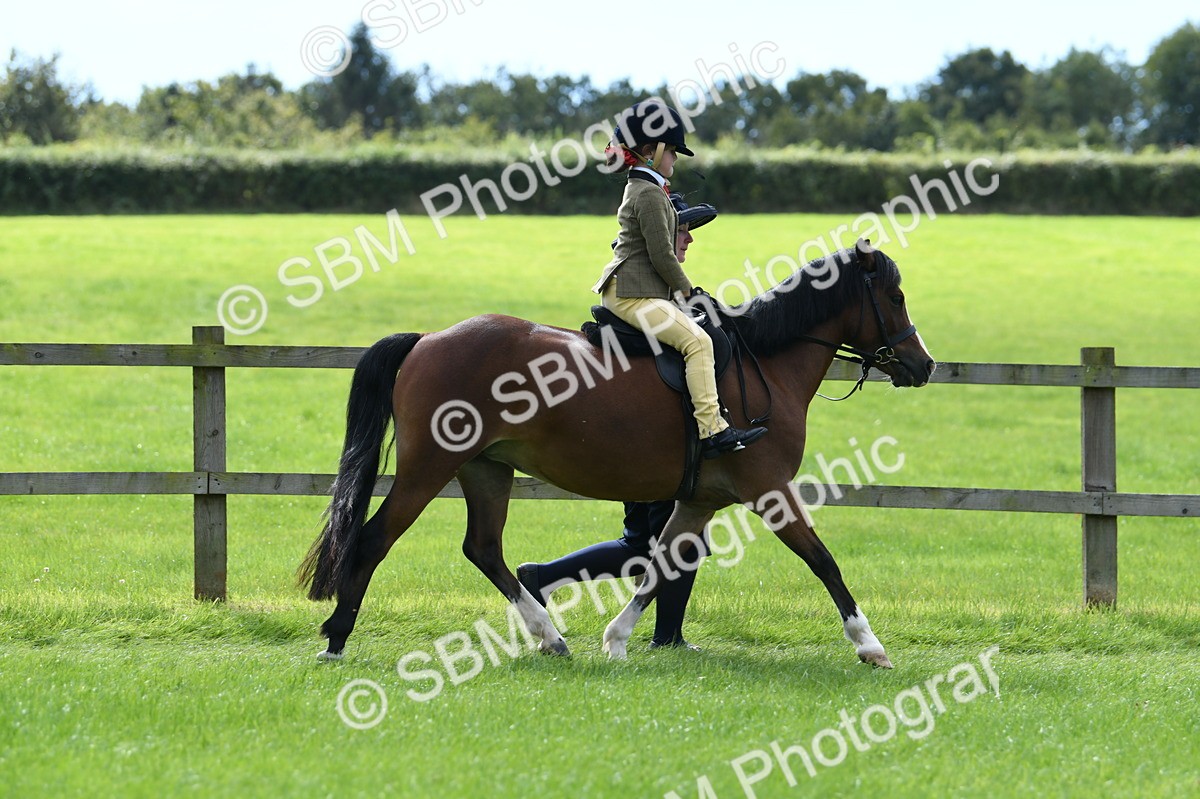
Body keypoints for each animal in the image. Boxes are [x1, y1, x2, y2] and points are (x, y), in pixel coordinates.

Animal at [298, 238, 935, 667]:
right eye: (896, 296)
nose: (924, 365)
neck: (766, 362)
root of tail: (428, 339)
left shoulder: (700, 501)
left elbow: (662, 565)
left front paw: (617, 639)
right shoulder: (770, 492)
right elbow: (824, 561)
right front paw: (870, 645)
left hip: (486, 469)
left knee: (483, 549)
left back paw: (549, 635)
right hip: (429, 468)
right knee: (374, 539)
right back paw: (337, 638)